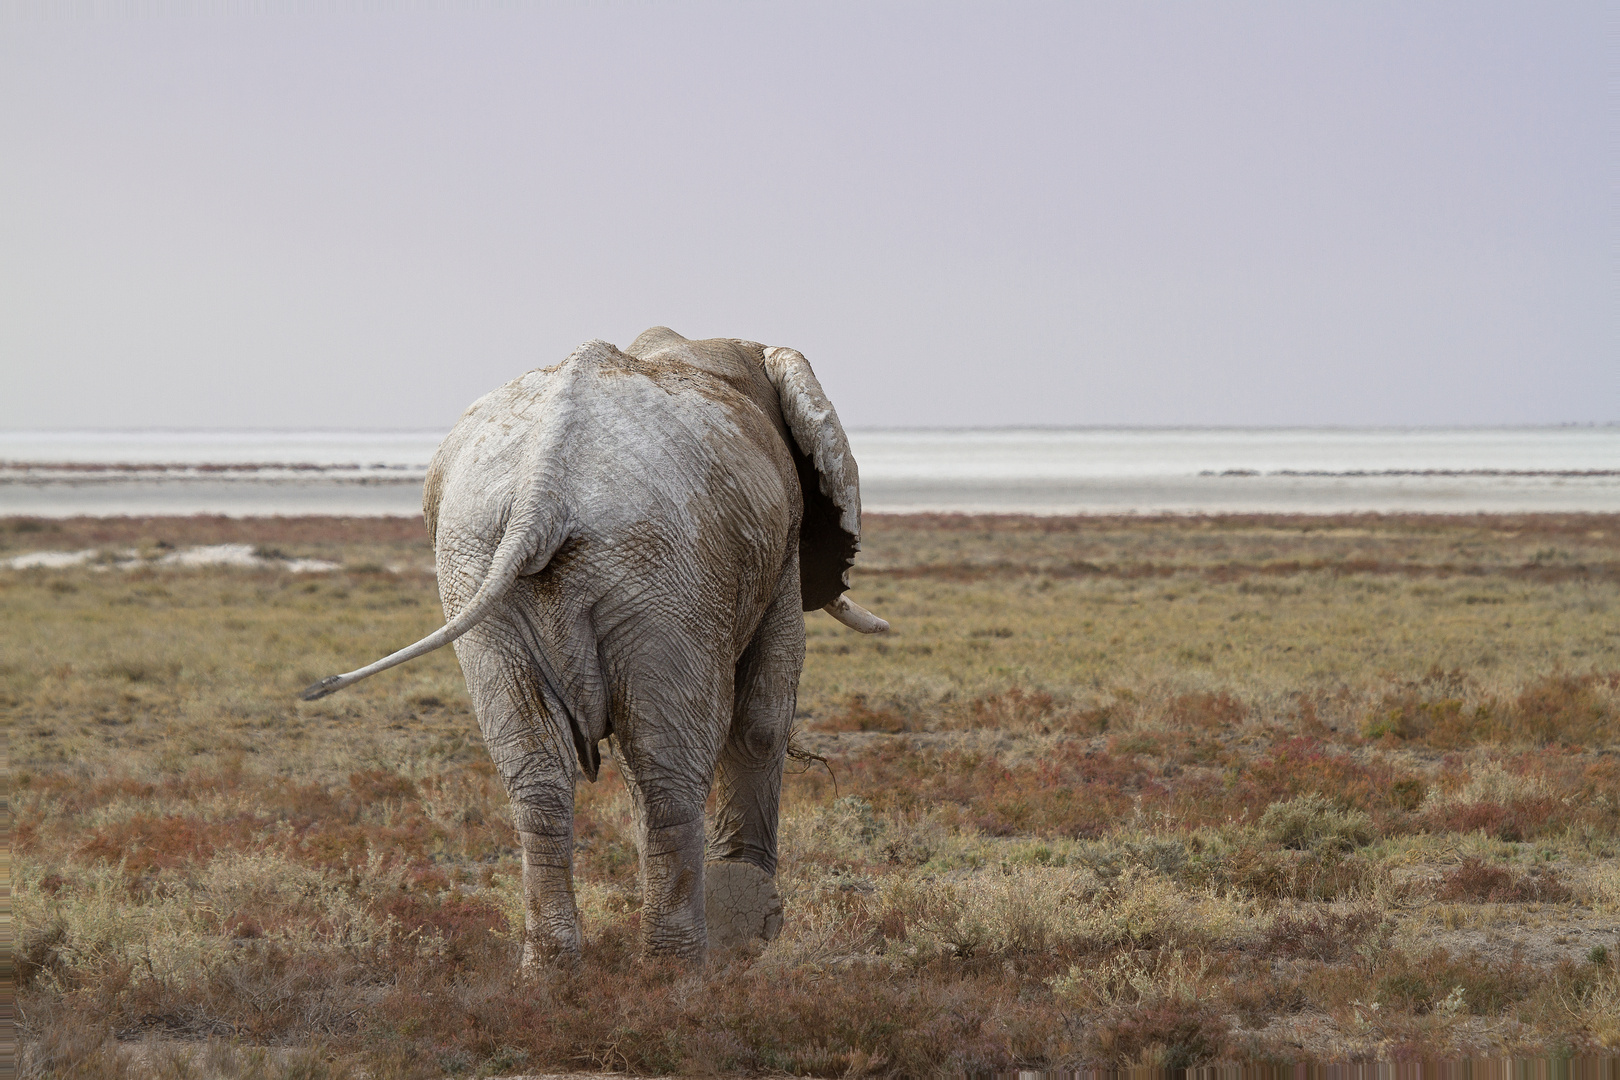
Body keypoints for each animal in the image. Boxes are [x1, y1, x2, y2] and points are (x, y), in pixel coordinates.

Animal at [301, 327, 887, 965]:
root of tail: (541, 496)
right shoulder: (781, 543)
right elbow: (761, 716)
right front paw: (754, 926)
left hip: (483, 568)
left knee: (542, 775)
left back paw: (554, 973)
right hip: (666, 570)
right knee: (669, 769)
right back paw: (678, 973)